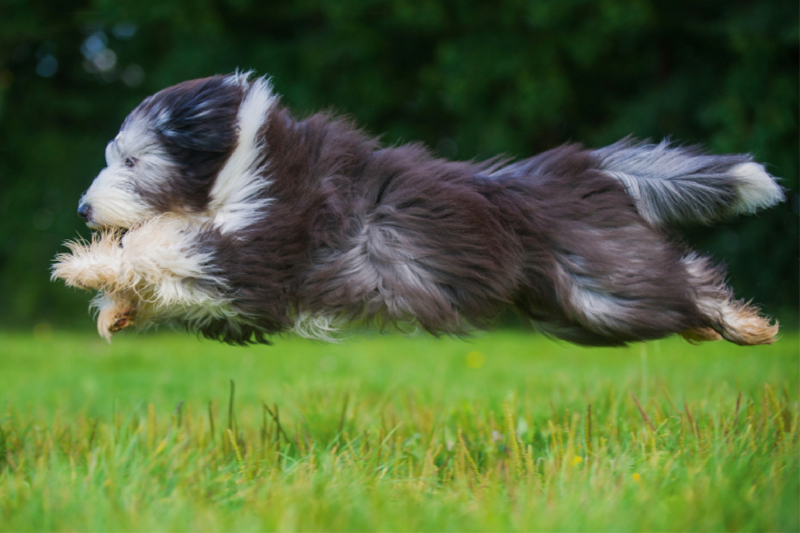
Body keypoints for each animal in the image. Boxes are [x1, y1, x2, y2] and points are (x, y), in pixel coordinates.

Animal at [53, 71, 784, 344]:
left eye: (131, 160)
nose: (85, 208)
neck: (244, 162)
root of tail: (574, 170)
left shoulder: (262, 245)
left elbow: (169, 242)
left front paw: (85, 268)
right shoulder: (240, 290)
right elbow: (168, 272)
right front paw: (115, 302)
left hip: (601, 285)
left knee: (683, 281)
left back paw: (742, 322)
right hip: (571, 304)